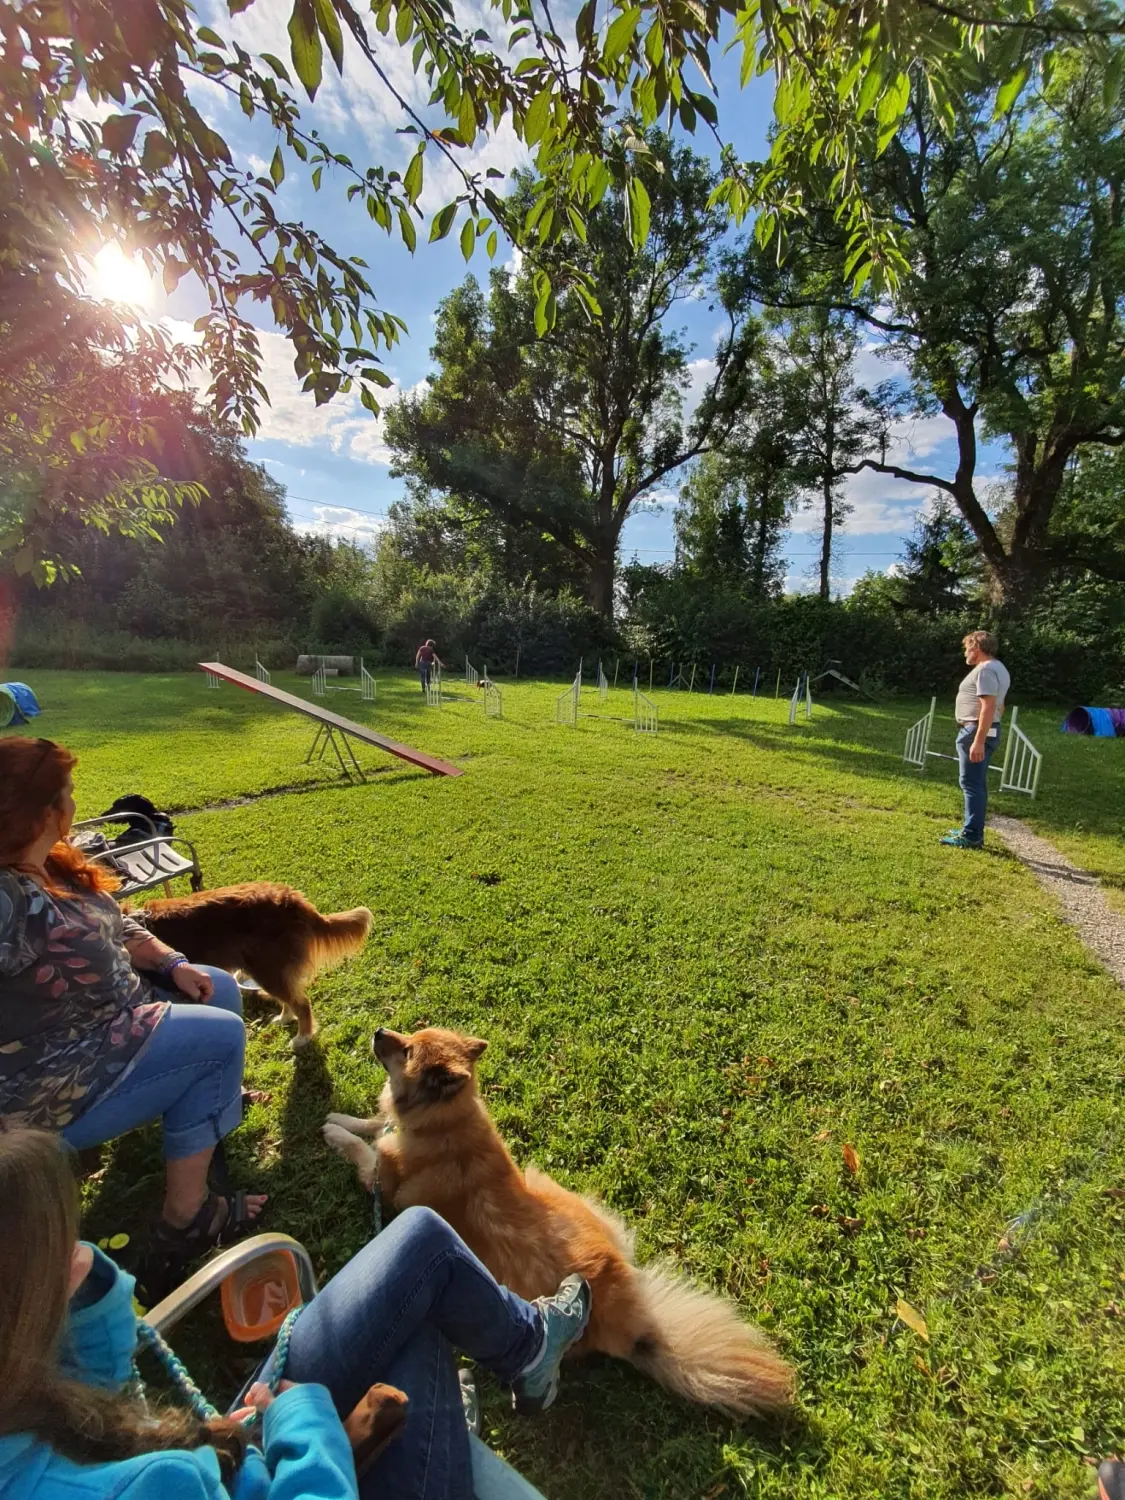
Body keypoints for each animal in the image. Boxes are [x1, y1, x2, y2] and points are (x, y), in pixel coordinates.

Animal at [138, 882, 375, 1050]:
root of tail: (291, 899)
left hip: (266, 968)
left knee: (301, 1002)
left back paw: (302, 1038)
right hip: (271, 969)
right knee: (290, 998)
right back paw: (284, 1019)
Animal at [321, 1026, 798, 1422]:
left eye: (406, 1050)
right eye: (408, 1036)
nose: (378, 1030)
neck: (443, 1120)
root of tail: (634, 1325)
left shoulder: (379, 1181)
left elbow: (363, 1149)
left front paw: (334, 1133)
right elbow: (372, 1123)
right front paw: (341, 1119)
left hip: (537, 1183)